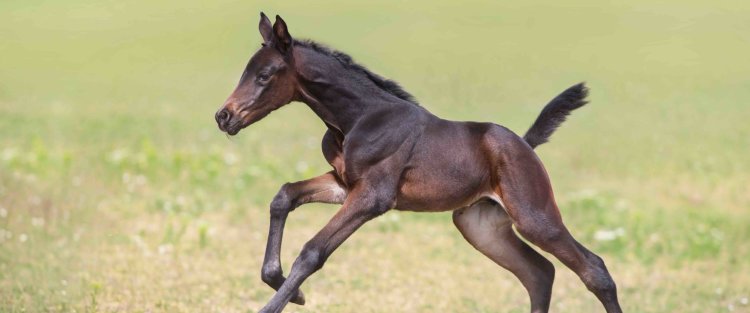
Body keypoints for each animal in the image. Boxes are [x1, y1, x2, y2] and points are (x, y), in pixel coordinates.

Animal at [213, 12, 624, 312]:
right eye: (246, 71)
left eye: (265, 75)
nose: (223, 116)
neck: (359, 118)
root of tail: (525, 144)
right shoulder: (345, 184)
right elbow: (284, 196)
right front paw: (287, 287)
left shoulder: (372, 197)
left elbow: (312, 251)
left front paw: (282, 298)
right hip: (480, 225)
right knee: (539, 273)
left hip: (534, 215)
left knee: (594, 269)